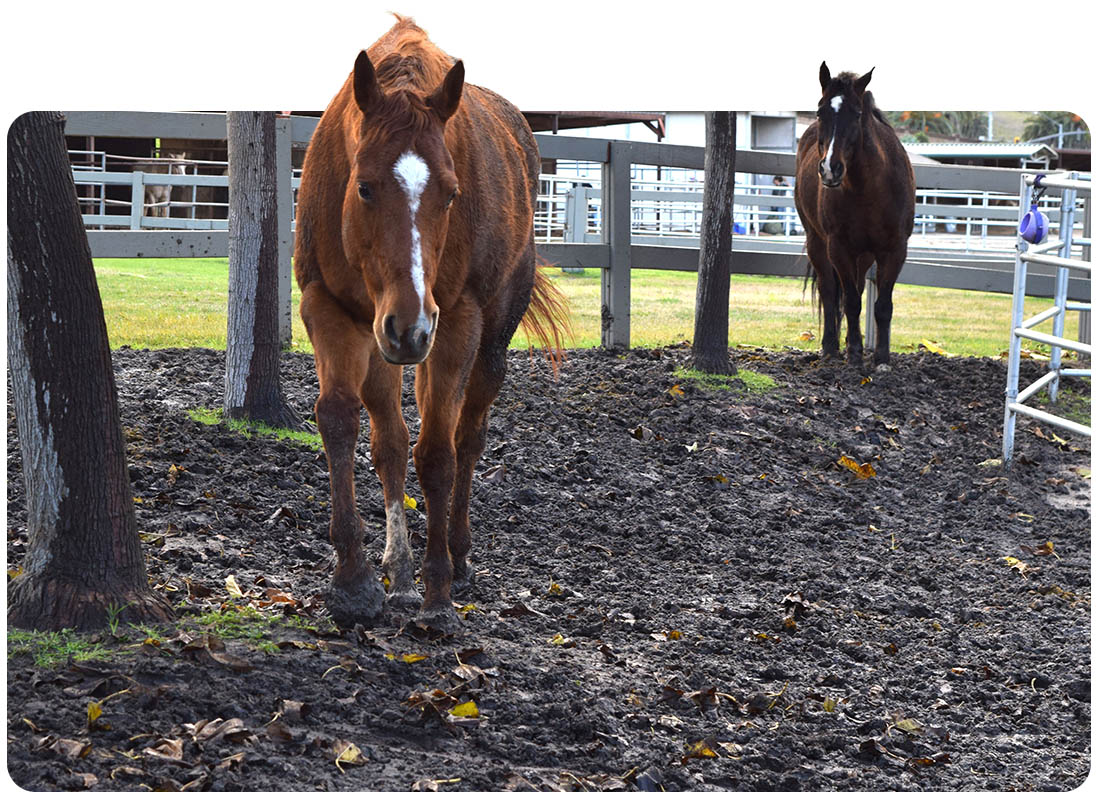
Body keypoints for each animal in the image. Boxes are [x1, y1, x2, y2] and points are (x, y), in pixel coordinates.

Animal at [294, 15, 568, 631]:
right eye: (364, 185)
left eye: (450, 192)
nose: (409, 326)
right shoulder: (328, 307)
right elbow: (341, 421)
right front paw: (354, 579)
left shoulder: (455, 322)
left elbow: (438, 453)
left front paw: (438, 588)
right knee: (391, 441)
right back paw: (398, 570)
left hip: (480, 341)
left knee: (467, 438)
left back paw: (457, 557)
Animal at [794, 62, 915, 366]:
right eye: (820, 111)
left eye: (857, 114)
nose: (830, 169)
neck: (870, 189)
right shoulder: (839, 248)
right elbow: (848, 301)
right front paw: (855, 354)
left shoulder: (894, 250)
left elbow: (882, 305)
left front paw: (881, 358)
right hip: (817, 243)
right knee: (829, 291)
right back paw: (831, 346)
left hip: (864, 254)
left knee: (857, 289)